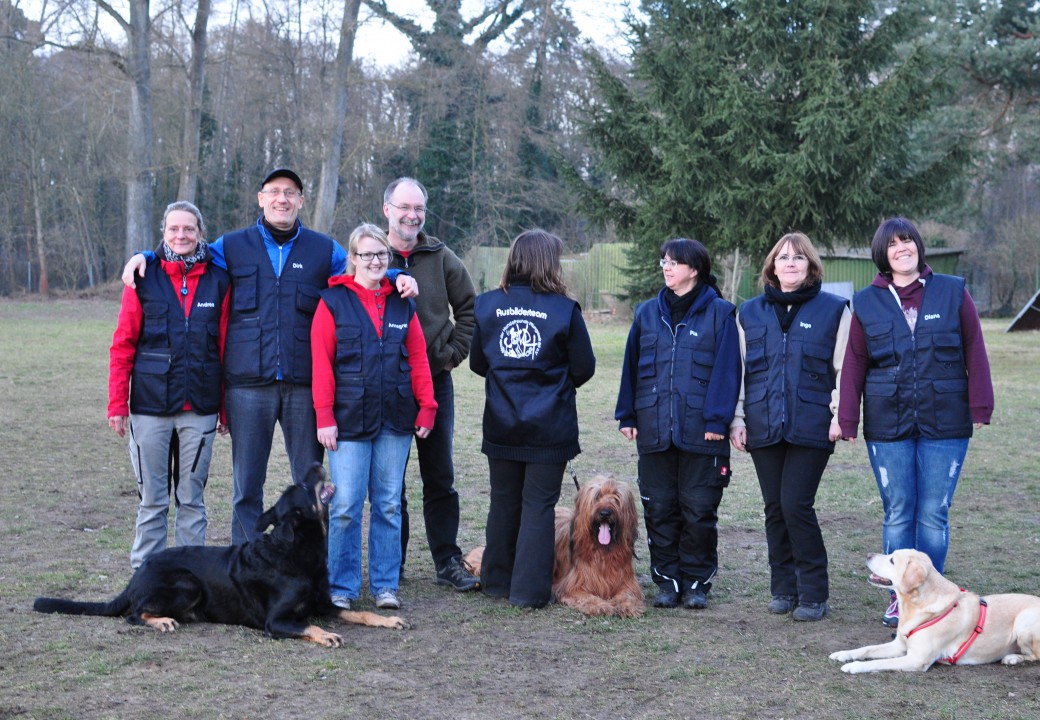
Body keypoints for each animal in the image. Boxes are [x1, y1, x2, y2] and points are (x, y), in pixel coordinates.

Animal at [34, 466, 403, 645]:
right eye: (302, 486)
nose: (315, 463)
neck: (298, 551)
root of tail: (135, 576)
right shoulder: (276, 621)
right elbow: (307, 625)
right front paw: (326, 635)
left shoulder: (324, 604)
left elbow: (359, 613)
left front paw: (386, 620)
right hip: (187, 583)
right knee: (134, 614)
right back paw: (161, 620)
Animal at [832, 549, 1040, 674]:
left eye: (892, 560)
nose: (868, 554)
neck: (916, 606)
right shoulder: (899, 646)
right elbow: (866, 648)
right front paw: (843, 654)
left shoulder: (916, 659)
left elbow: (877, 662)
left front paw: (854, 666)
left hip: (1024, 621)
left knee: (1035, 656)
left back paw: (1012, 658)